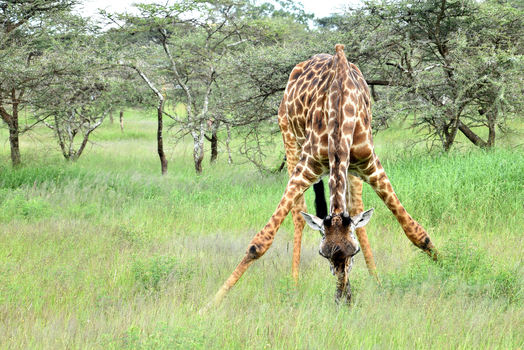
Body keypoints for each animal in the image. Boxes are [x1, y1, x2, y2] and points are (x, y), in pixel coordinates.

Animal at [207, 44, 436, 306]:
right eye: (322, 253)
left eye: (354, 251)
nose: (342, 300)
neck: (340, 112)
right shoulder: (307, 167)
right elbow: (259, 242)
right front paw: (211, 304)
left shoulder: (370, 164)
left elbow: (416, 232)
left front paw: (446, 265)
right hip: (289, 139)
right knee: (298, 215)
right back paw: (294, 286)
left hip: (353, 170)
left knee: (356, 209)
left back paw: (375, 281)